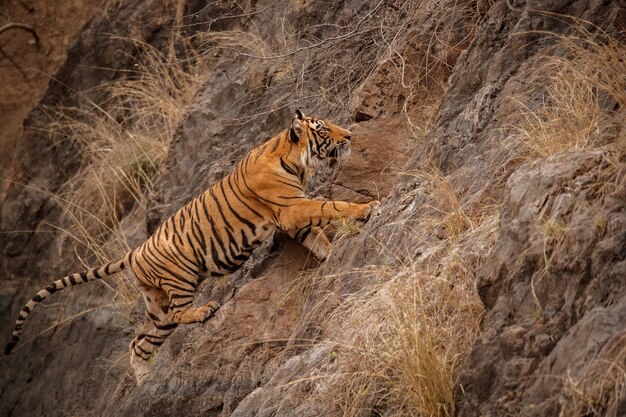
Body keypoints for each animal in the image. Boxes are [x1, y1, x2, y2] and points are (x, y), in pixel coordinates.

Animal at [4, 109, 378, 382]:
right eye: (323, 129)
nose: (349, 136)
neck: (292, 158)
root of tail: (134, 251)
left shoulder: (291, 217)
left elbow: (317, 236)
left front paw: (331, 254)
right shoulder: (292, 208)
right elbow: (329, 207)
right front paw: (367, 209)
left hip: (156, 307)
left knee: (139, 342)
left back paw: (143, 380)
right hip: (181, 278)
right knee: (179, 314)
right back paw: (204, 311)